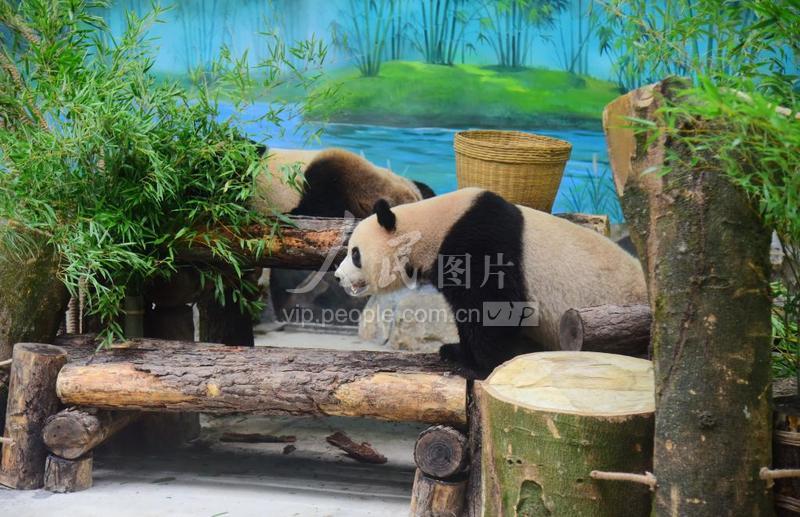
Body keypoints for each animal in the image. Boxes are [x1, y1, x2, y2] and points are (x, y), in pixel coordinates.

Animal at [334, 187, 647, 374]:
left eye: (355, 254)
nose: (338, 276)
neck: (431, 227)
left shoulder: (480, 244)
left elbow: (494, 309)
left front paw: (481, 365)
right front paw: (455, 351)